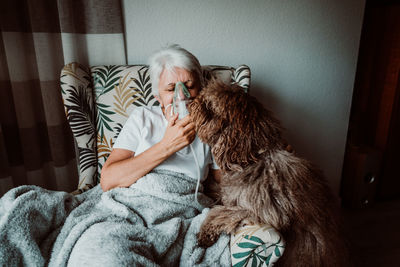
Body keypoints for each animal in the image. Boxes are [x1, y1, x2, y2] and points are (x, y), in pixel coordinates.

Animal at [189, 81, 348, 267]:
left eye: (209, 105)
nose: (192, 103)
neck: (257, 156)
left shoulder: (262, 212)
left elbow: (221, 213)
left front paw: (205, 233)